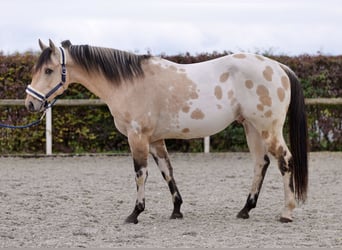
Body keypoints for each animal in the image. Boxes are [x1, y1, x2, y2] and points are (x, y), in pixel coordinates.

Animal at [24, 39, 308, 225]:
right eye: (36, 69)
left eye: (48, 70)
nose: (30, 104)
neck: (129, 83)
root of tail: (278, 67)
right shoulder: (155, 139)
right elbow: (166, 171)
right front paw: (177, 210)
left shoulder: (137, 137)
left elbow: (141, 173)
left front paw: (135, 213)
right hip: (252, 128)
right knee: (261, 164)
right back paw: (245, 209)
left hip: (268, 129)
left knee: (285, 161)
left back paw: (286, 212)